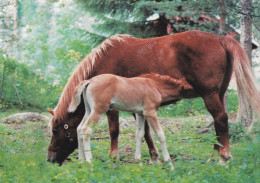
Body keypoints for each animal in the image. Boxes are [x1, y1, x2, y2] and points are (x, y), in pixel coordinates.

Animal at [47, 30, 260, 164]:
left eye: (56, 131)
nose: (50, 159)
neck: (105, 60)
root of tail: (219, 38)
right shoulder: (139, 107)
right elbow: (146, 132)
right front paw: (153, 156)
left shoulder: (112, 108)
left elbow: (115, 130)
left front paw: (113, 157)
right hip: (219, 93)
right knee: (218, 123)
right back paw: (214, 155)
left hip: (209, 95)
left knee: (221, 119)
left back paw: (223, 157)